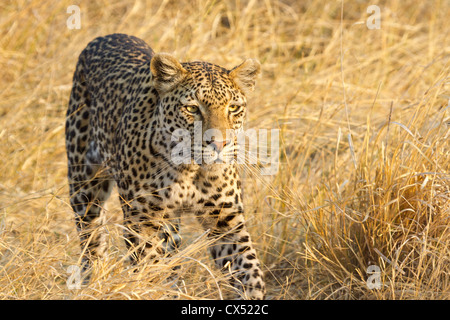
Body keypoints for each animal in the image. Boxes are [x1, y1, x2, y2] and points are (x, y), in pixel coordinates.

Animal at [65, 33, 266, 298]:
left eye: (233, 108)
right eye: (192, 108)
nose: (219, 144)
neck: (190, 169)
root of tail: (106, 36)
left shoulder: (226, 221)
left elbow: (250, 272)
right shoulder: (143, 221)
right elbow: (151, 267)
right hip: (84, 185)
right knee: (92, 238)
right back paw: (93, 280)